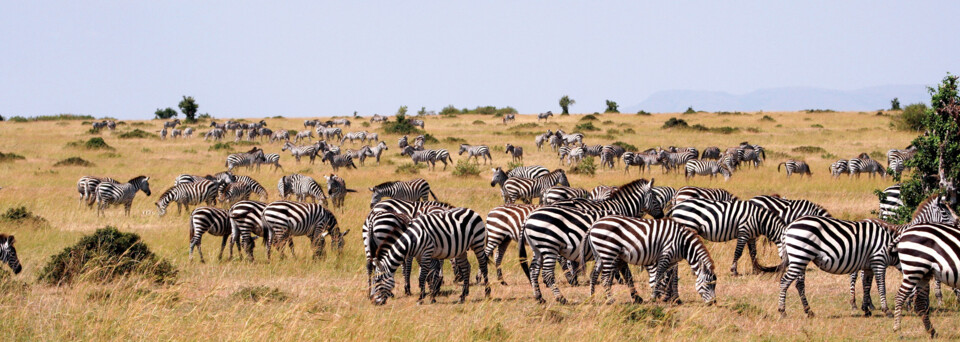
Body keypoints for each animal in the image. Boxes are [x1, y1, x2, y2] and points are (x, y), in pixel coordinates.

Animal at [520, 178, 656, 304]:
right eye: (655, 199)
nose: (659, 215)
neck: (622, 208)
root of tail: (528, 217)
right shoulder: (616, 246)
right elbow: (626, 273)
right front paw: (635, 297)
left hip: (538, 246)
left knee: (533, 270)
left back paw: (539, 297)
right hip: (549, 244)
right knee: (549, 271)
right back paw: (562, 297)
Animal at [580, 216, 716, 304]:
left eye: (715, 285)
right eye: (708, 284)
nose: (713, 302)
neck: (682, 244)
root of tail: (593, 225)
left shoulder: (672, 261)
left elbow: (668, 278)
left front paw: (666, 297)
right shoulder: (665, 255)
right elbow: (659, 277)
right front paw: (654, 297)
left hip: (600, 254)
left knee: (594, 275)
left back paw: (592, 298)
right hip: (609, 252)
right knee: (605, 279)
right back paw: (610, 300)